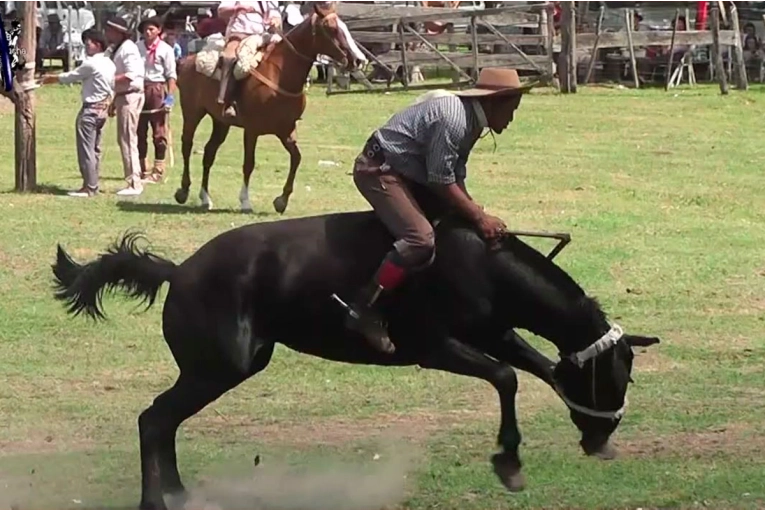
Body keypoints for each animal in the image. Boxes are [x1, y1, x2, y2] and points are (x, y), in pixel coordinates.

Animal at [50, 208, 660, 510]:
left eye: (624, 375)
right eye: (608, 375)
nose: (602, 438)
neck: (479, 265)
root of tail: (178, 272)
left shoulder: (497, 333)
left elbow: (540, 369)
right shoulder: (434, 348)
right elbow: (508, 377)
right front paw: (508, 462)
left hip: (227, 368)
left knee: (163, 421)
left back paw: (178, 493)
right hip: (218, 367)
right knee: (153, 419)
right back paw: (158, 499)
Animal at [175, 2, 362, 212]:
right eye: (331, 28)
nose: (358, 60)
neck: (279, 75)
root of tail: (187, 60)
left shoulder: (286, 129)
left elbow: (296, 158)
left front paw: (282, 200)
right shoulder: (252, 130)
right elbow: (249, 163)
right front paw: (245, 201)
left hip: (220, 121)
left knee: (209, 152)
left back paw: (205, 197)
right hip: (192, 113)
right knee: (187, 145)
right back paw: (183, 191)